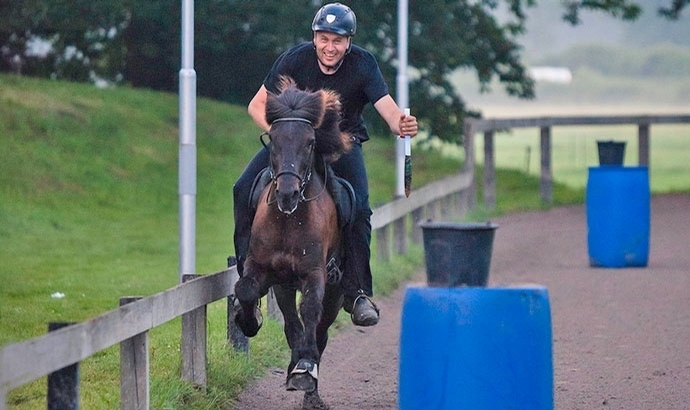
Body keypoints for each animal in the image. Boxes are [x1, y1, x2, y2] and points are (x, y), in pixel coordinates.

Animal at [235, 77, 352, 410]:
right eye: (273, 140)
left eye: (310, 142)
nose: (287, 193)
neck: (289, 219)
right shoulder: (263, 269)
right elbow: (246, 290)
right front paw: (248, 322)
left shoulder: (315, 274)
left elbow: (310, 311)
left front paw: (305, 369)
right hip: (285, 286)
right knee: (292, 326)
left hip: (336, 293)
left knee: (320, 332)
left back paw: (308, 383)